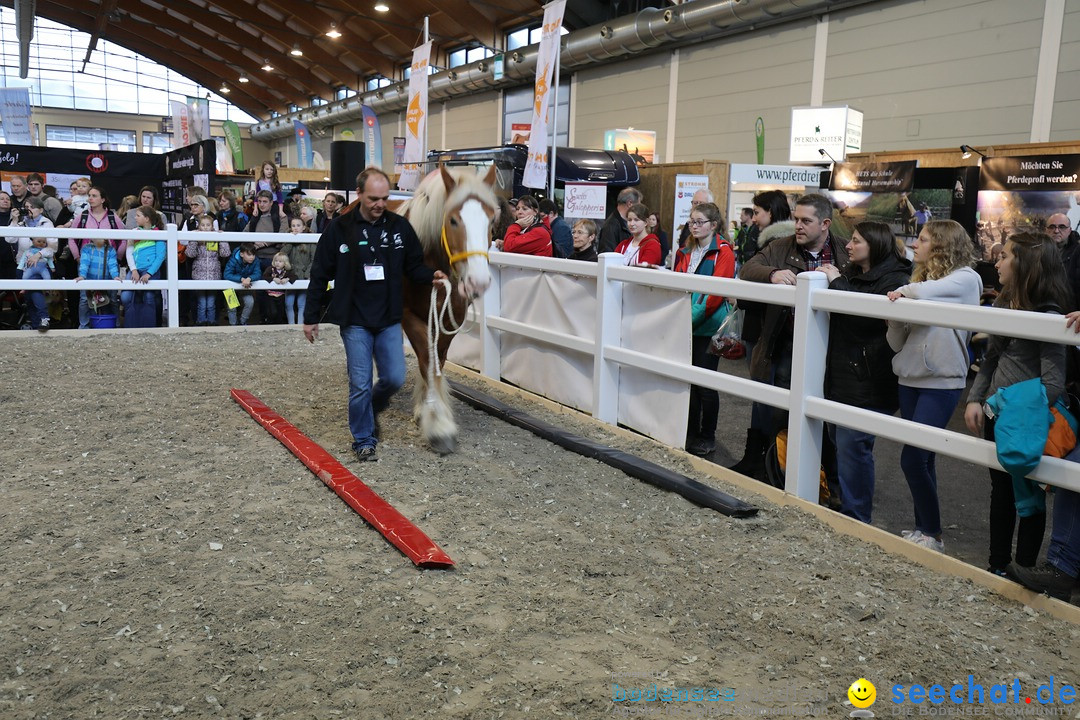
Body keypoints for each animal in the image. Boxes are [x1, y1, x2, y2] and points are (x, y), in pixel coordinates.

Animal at [397, 166, 496, 453]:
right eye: (453, 220)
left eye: (491, 220)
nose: (478, 281)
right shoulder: (408, 315)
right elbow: (427, 360)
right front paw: (439, 425)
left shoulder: (450, 320)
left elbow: (436, 361)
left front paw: (425, 409)